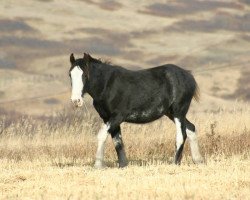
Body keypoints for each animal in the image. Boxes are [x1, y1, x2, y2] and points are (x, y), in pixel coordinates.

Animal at [68, 53, 203, 169]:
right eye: (70, 75)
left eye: (85, 75)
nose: (76, 101)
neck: (107, 86)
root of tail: (189, 76)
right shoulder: (107, 118)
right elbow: (118, 141)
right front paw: (123, 165)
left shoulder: (117, 116)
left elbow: (102, 135)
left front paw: (98, 165)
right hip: (171, 113)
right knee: (191, 128)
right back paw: (198, 160)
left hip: (178, 112)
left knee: (181, 135)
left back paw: (175, 163)